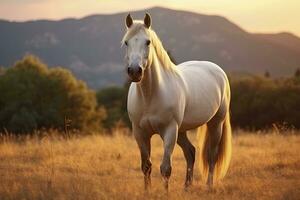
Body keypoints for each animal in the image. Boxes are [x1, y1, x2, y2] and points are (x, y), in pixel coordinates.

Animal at [122, 13, 232, 190]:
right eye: (126, 42)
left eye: (148, 42)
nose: (134, 71)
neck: (150, 96)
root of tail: (217, 70)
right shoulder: (140, 133)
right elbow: (146, 167)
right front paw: (147, 192)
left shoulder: (169, 131)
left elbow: (166, 168)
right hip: (181, 131)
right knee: (191, 152)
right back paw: (187, 187)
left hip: (215, 123)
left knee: (212, 156)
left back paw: (209, 187)